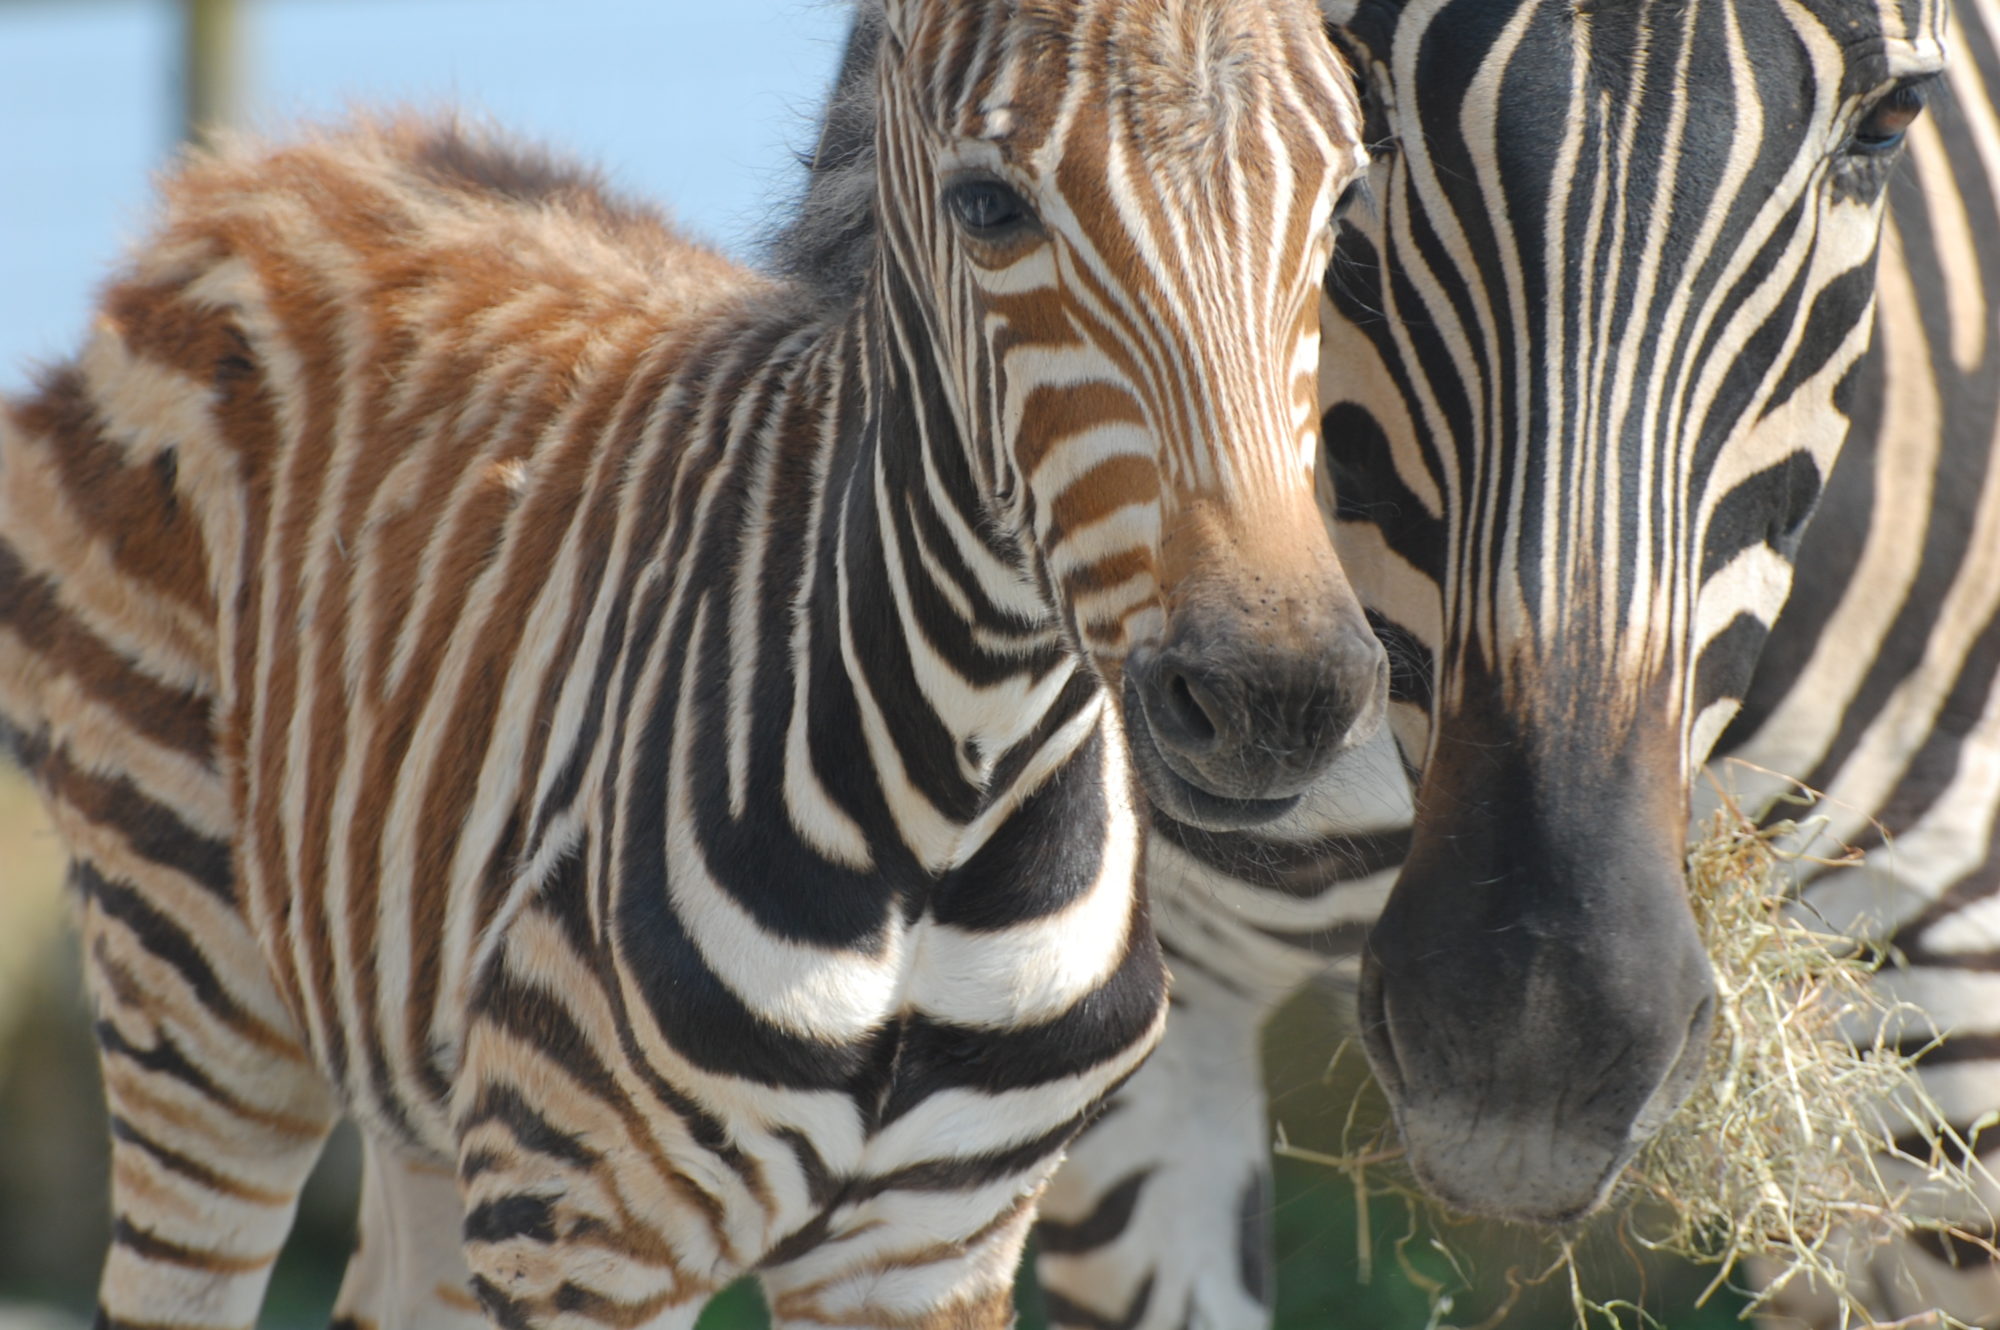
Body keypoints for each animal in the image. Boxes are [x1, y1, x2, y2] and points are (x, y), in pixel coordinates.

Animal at [0, 2, 1392, 1328]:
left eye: (1340, 207)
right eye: (987, 208)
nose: (1276, 698)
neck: (957, 778)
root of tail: (272, 162)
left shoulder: (930, 1244)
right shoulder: (585, 1237)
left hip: (424, 1083)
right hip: (194, 977)